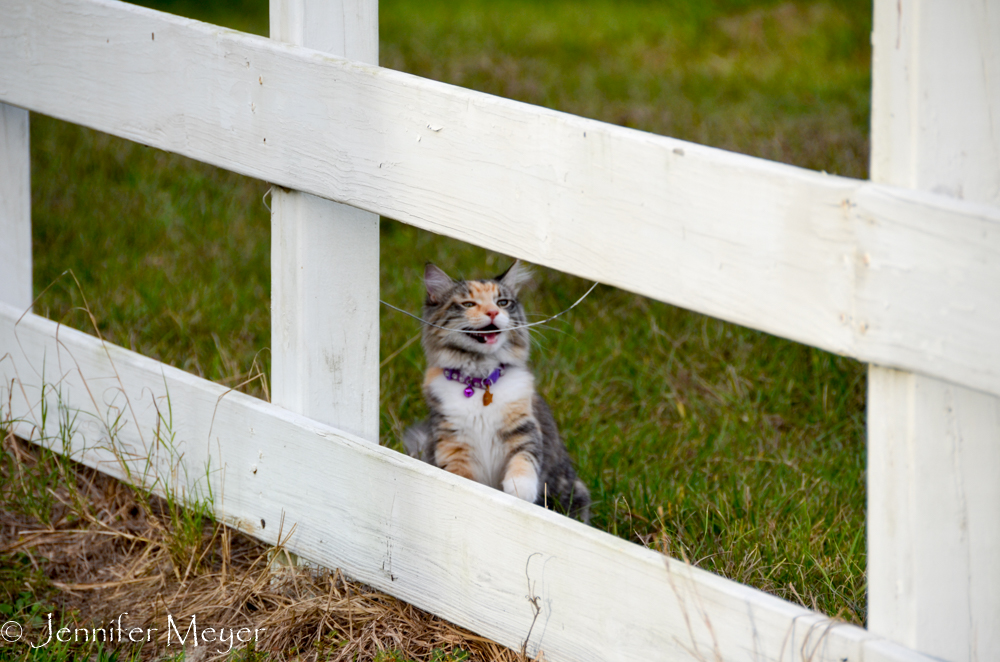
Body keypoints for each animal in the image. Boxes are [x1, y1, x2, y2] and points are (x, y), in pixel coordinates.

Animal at [402, 260, 588, 524]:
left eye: (503, 302)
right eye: (469, 304)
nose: (492, 313)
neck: (480, 381)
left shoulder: (524, 427)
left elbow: (524, 459)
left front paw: (520, 491)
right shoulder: (453, 442)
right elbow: (460, 478)